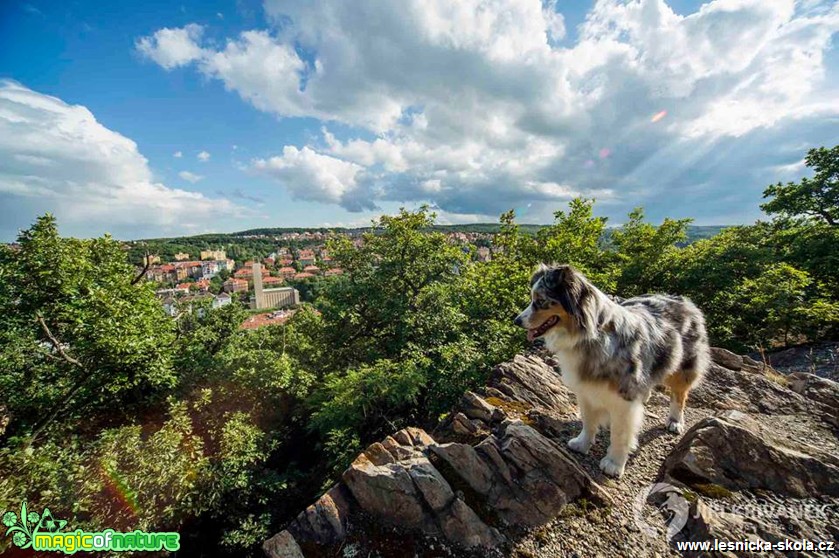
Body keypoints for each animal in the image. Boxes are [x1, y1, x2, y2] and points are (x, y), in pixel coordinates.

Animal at [512, 264, 708, 480]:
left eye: (540, 301)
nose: (516, 321)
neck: (592, 336)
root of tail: (684, 300)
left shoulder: (624, 400)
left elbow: (620, 434)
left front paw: (614, 463)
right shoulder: (586, 390)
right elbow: (588, 421)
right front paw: (582, 444)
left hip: (684, 366)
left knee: (680, 394)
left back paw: (675, 421)